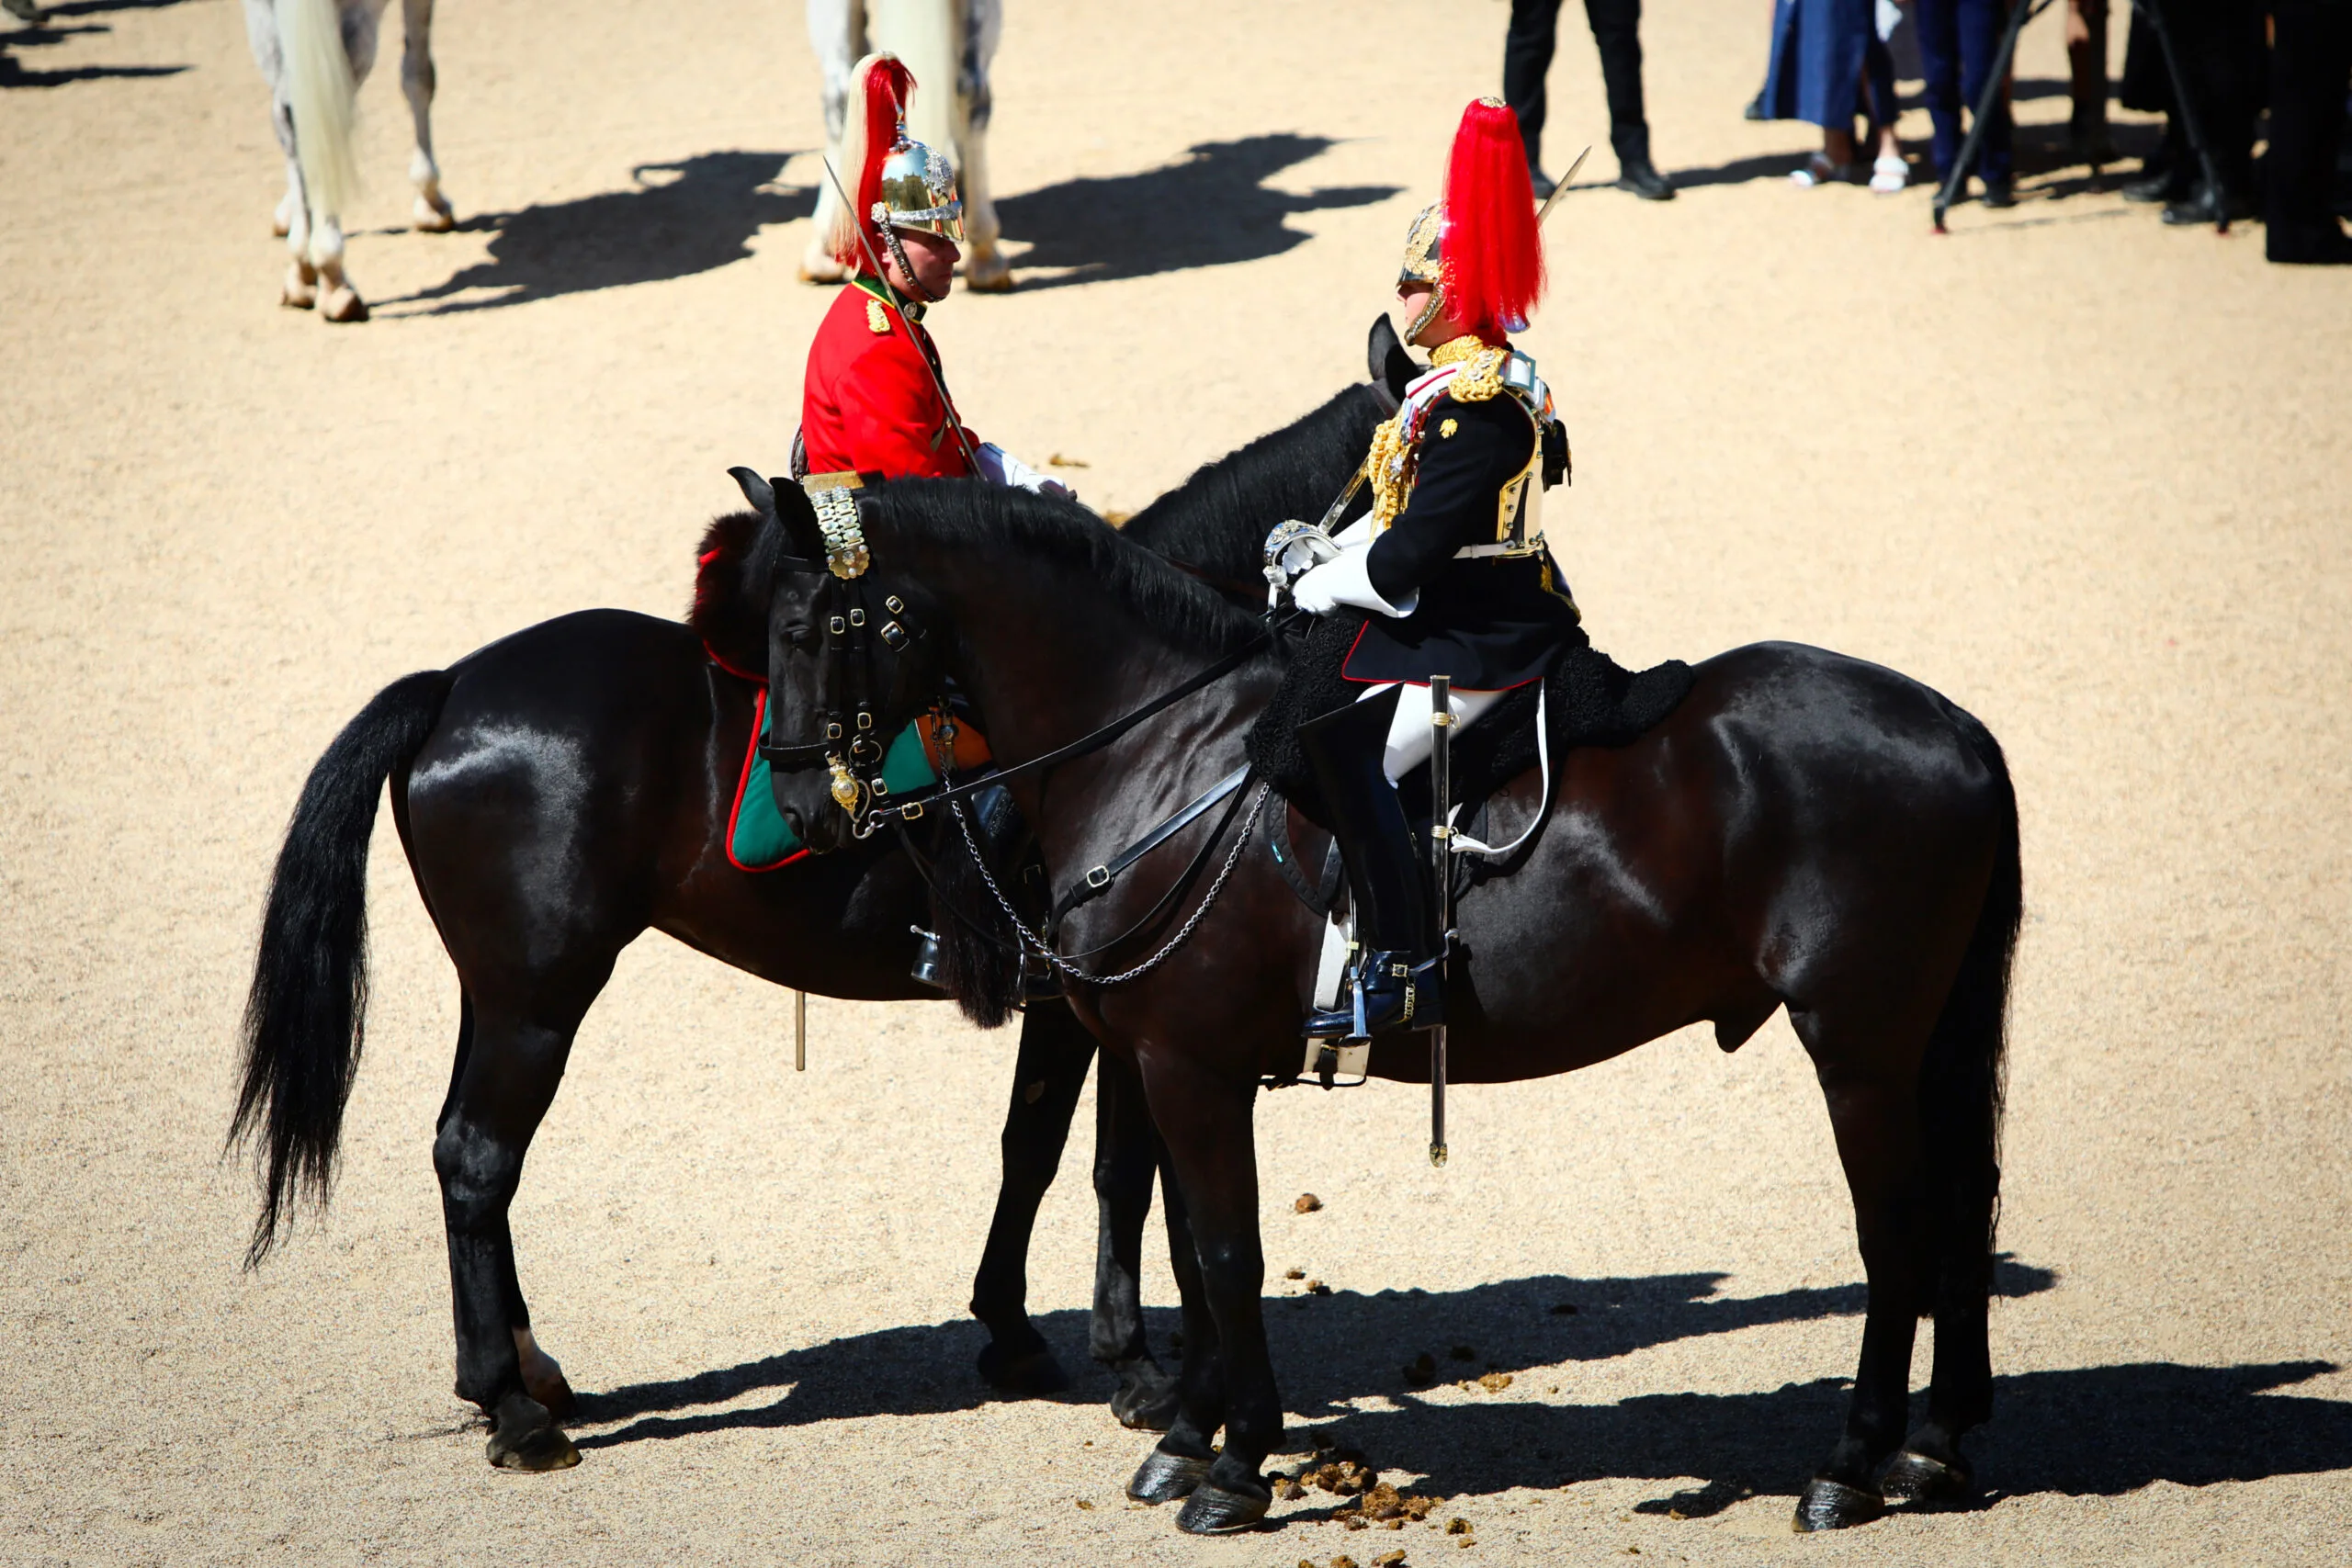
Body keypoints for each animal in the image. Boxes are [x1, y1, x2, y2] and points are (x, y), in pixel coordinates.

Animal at [229, 336, 1405, 1471]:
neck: (1141, 700)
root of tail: (450, 688)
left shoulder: (1103, 1005)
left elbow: (1042, 1151)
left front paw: (1020, 1331)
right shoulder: (1108, 1004)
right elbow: (1109, 1166)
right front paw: (1129, 1364)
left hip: (502, 992)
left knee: (465, 1154)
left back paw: (530, 1372)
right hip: (539, 998)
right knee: (479, 1159)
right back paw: (513, 1410)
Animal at [732, 475, 2020, 1536]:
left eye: (807, 630)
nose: (800, 813)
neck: (1162, 746)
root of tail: (1957, 724)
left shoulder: (1187, 1065)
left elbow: (1225, 1250)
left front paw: (1233, 1468)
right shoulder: (1160, 1059)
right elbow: (1189, 1249)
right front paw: (1187, 1438)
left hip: (1856, 1046)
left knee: (1896, 1231)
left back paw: (1848, 1468)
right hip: (1922, 1044)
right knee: (1962, 1211)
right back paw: (1934, 1451)